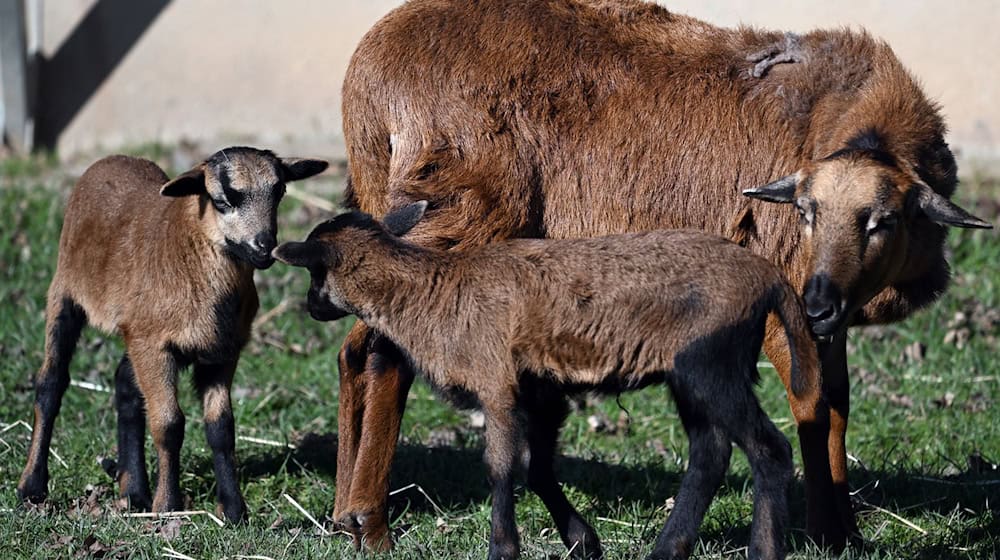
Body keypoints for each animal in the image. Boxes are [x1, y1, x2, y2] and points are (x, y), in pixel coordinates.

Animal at [17, 148, 328, 520]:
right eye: (221, 200)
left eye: (279, 192)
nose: (264, 247)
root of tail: (113, 158)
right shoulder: (157, 347)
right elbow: (169, 424)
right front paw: (167, 506)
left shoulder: (221, 352)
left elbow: (221, 427)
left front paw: (234, 511)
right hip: (65, 293)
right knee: (51, 382)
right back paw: (32, 486)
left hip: (136, 331)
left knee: (125, 386)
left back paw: (133, 491)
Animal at [276, 201, 828, 560]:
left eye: (314, 274)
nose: (310, 308)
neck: (430, 294)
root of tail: (770, 279)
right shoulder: (541, 390)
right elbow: (538, 467)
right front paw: (584, 541)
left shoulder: (495, 382)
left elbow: (501, 468)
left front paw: (503, 548)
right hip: (692, 373)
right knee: (710, 453)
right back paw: (666, 550)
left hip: (711, 362)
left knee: (769, 449)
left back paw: (762, 550)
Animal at [330, 0, 992, 552]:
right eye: (804, 211)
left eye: (882, 220)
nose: (821, 303)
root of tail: (369, 74)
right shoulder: (785, 293)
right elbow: (815, 403)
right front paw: (828, 532)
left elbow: (840, 403)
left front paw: (846, 531)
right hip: (459, 209)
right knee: (386, 345)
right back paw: (373, 523)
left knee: (354, 346)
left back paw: (344, 515)